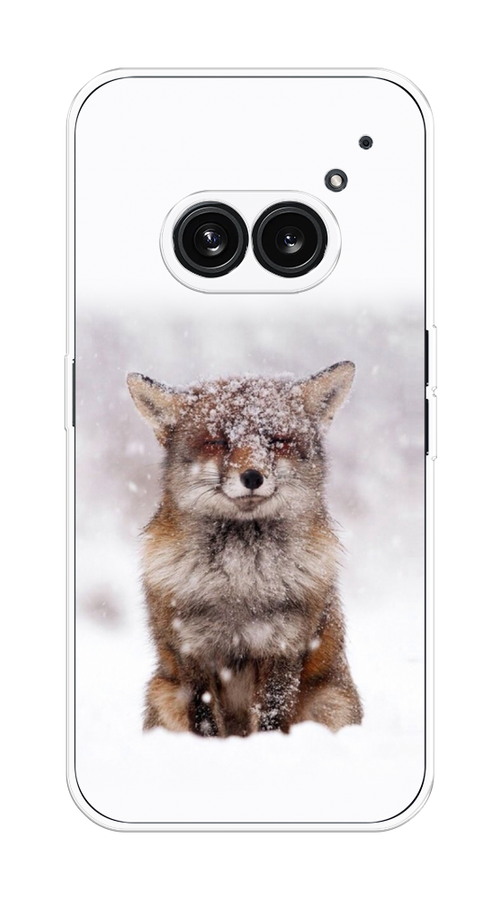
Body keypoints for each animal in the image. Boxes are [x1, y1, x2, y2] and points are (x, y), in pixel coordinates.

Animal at [127, 362, 362, 737]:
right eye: (218, 442)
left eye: (277, 440)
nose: (252, 477)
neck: (239, 582)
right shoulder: (192, 650)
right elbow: (205, 719)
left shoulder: (283, 646)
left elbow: (271, 717)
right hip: (162, 692)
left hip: (330, 702)